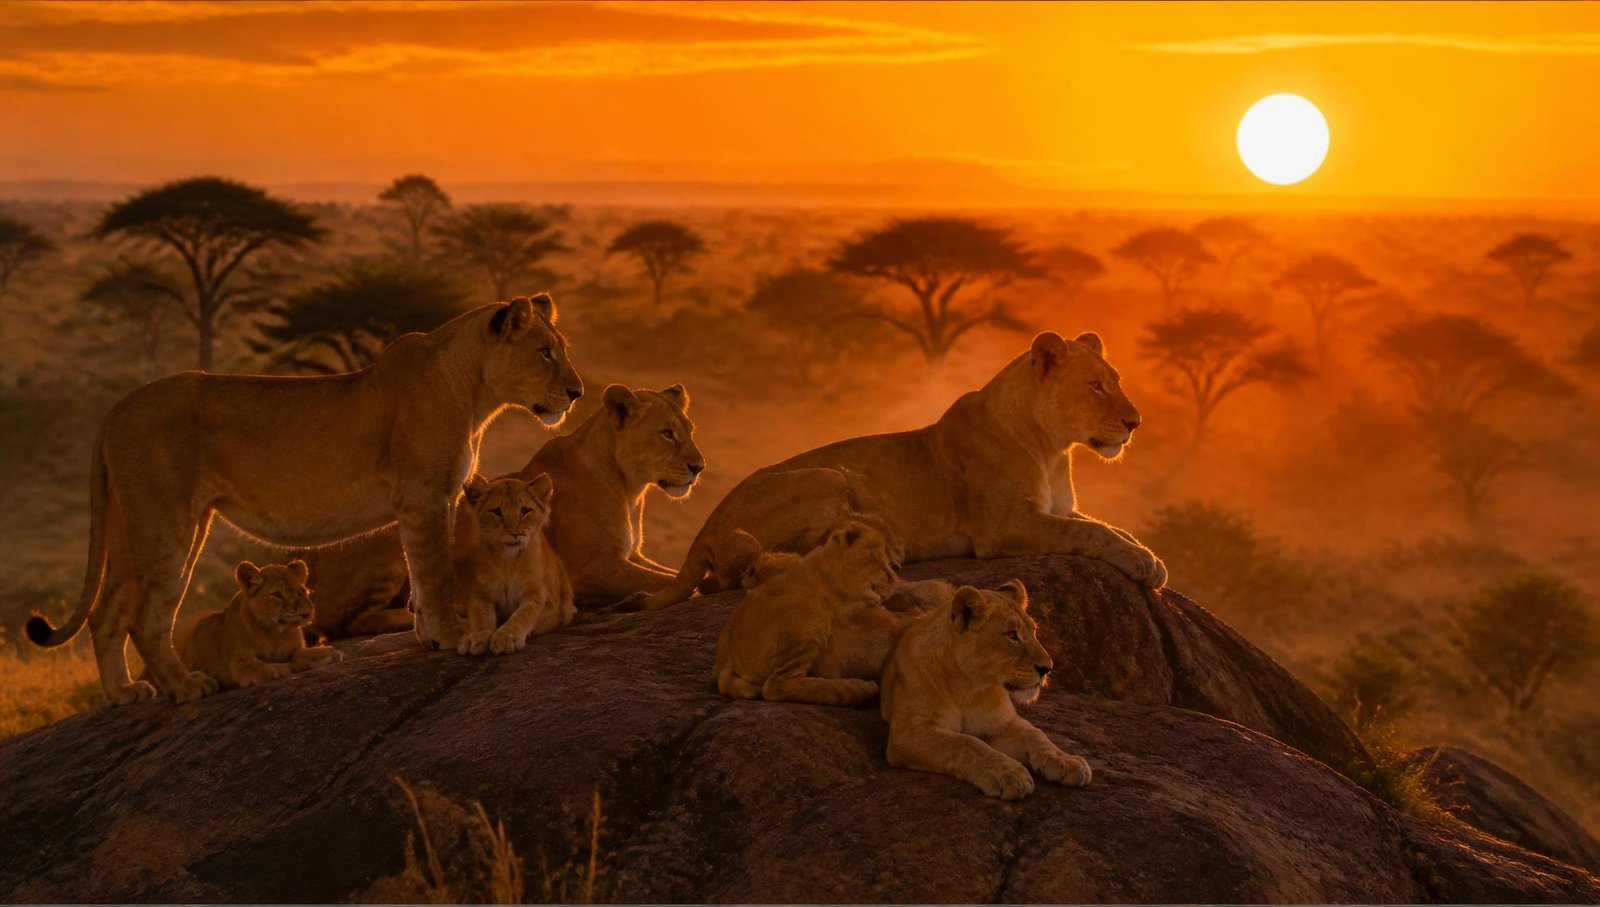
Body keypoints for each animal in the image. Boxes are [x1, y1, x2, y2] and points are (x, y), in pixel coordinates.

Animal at [176, 559, 343, 691]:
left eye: (301, 591)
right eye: (277, 594)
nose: (305, 613)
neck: (276, 632)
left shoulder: (295, 649)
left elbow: (300, 654)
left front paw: (327, 652)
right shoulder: (241, 665)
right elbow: (263, 665)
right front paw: (282, 667)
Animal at [450, 474, 574, 656]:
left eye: (525, 511)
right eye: (497, 511)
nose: (515, 533)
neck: (507, 560)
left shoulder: (547, 602)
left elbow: (524, 613)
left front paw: (506, 636)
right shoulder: (481, 593)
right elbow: (480, 615)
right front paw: (477, 635)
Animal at [635, 331, 1164, 611]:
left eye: (1116, 381)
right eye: (1095, 386)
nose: (1136, 422)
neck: (1052, 449)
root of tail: (706, 525)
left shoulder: (1055, 509)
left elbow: (1109, 527)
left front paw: (1149, 556)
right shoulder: (1003, 527)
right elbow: (1093, 534)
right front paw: (1144, 564)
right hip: (829, 477)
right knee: (752, 572)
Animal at [713, 521, 907, 706]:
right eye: (875, 557)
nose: (894, 578)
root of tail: (725, 660)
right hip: (806, 623)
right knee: (775, 686)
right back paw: (854, 690)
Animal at [880, 580, 1092, 800]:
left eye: (1034, 631)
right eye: (1011, 635)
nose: (1047, 668)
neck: (968, 686)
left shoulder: (1002, 723)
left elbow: (1035, 734)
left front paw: (1066, 760)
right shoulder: (908, 732)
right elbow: (965, 743)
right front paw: (1008, 773)